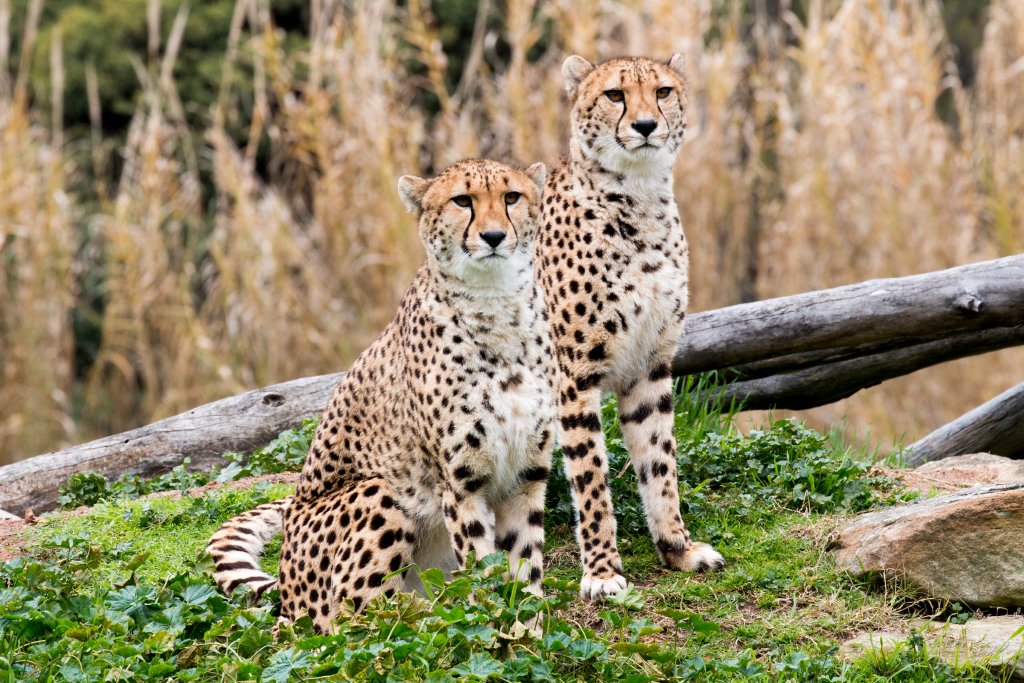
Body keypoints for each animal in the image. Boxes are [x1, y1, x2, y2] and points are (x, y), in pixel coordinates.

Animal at [207, 159, 557, 632]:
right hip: (378, 491)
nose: (493, 236)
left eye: (512, 197)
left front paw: (528, 629)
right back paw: (429, 618)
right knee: (355, 618)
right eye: (462, 201)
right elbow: (483, 569)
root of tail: (288, 602)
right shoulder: (461, 484)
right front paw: (491, 626)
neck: (497, 304)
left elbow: (525, 566)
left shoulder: (526, 475)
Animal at [536, 54, 725, 599]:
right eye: (615, 95)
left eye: (662, 91)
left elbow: (660, 462)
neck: (639, 200)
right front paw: (602, 571)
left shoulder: (651, 366)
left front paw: (678, 548)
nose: (644, 125)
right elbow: (591, 476)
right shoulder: (574, 378)